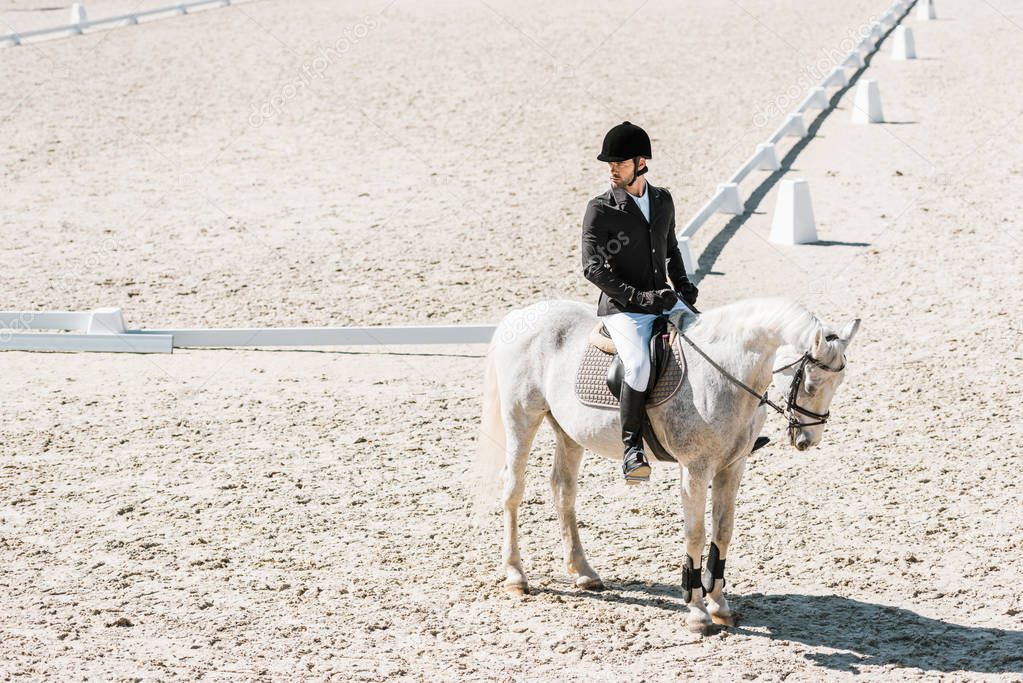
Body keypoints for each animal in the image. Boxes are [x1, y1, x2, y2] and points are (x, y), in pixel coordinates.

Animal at [474, 296, 859, 633]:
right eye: (809, 383)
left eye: (839, 382)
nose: (808, 440)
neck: (724, 370)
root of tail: (522, 314)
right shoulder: (696, 469)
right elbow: (696, 534)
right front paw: (697, 612)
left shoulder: (732, 467)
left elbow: (723, 532)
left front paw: (720, 606)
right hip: (522, 417)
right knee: (514, 490)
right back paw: (516, 576)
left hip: (568, 431)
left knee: (563, 490)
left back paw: (584, 572)